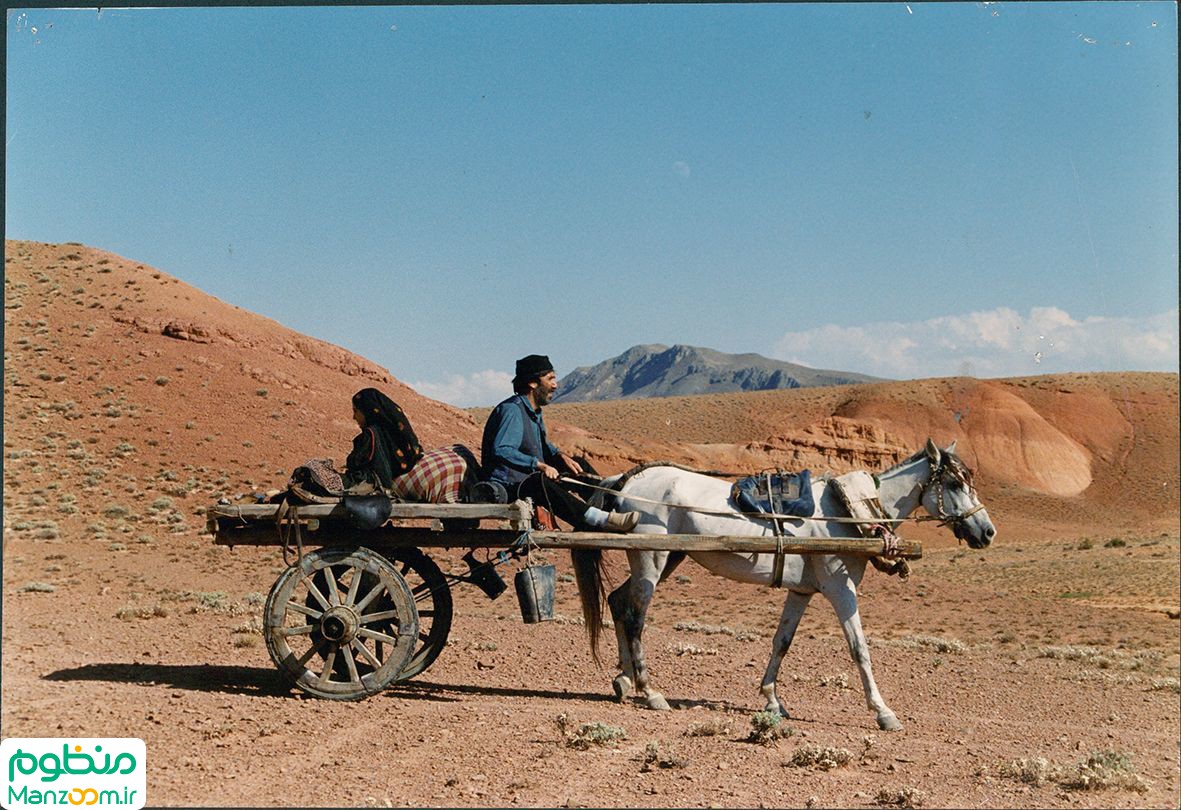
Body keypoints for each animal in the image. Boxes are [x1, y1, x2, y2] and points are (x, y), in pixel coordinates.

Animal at [566, 441, 992, 732]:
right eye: (954, 482)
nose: (987, 531)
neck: (850, 510)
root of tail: (624, 480)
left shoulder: (801, 591)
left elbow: (781, 642)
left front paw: (772, 698)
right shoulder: (840, 588)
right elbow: (859, 649)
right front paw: (883, 711)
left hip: (667, 559)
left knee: (618, 601)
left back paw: (623, 680)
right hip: (651, 559)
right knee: (636, 616)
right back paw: (649, 690)